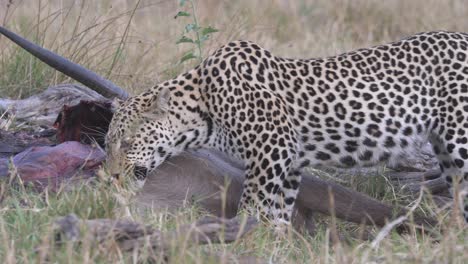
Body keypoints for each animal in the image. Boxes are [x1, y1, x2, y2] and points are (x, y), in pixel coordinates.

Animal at [106, 29, 468, 226]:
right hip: (446, 150)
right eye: (108, 143)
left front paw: (242, 235)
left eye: (128, 142)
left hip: (460, 138)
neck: (202, 104)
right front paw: (274, 242)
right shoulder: (289, 160)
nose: (112, 176)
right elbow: (280, 209)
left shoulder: (272, 147)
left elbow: (253, 201)